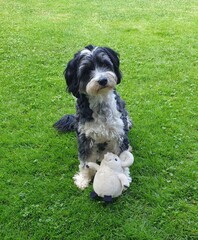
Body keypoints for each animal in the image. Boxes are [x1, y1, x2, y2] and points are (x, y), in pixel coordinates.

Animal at [53, 44, 133, 188]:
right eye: (86, 70)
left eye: (105, 64)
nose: (102, 80)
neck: (100, 104)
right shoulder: (85, 138)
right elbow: (85, 162)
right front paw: (84, 178)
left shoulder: (119, 133)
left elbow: (122, 159)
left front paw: (124, 177)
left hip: (127, 122)